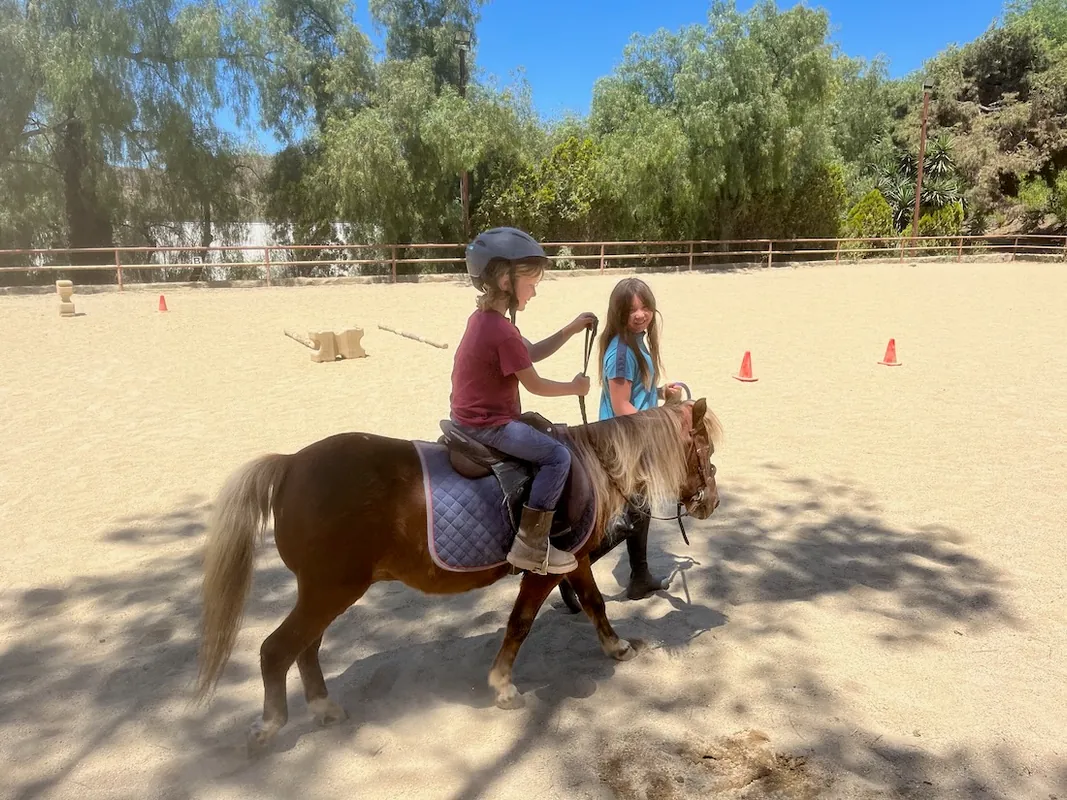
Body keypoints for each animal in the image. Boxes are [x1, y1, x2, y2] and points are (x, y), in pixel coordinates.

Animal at [194, 399, 722, 753]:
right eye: (707, 448)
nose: (712, 502)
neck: (587, 465)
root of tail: (289, 466)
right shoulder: (544, 571)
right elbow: (520, 623)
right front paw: (502, 685)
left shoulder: (577, 560)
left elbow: (594, 603)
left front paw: (616, 647)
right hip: (328, 591)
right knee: (277, 650)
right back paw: (270, 726)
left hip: (324, 593)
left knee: (306, 648)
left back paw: (324, 708)